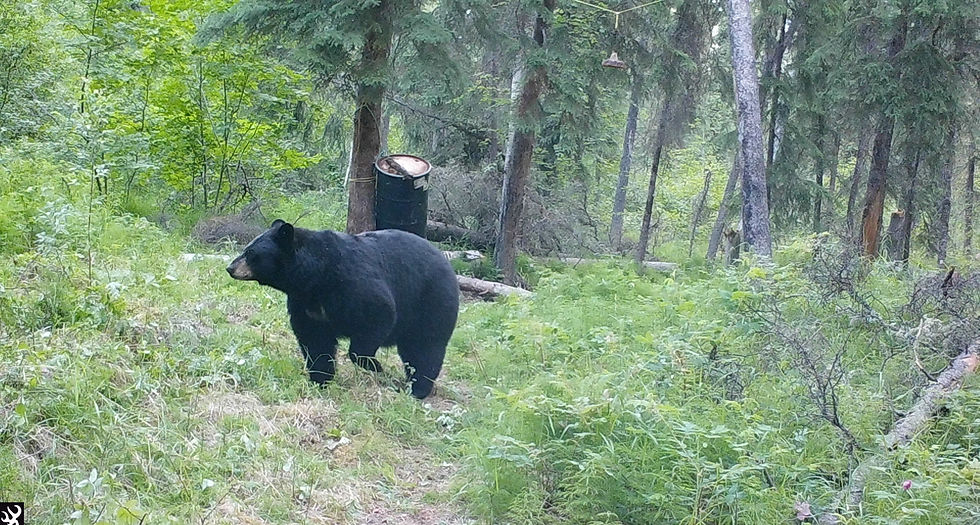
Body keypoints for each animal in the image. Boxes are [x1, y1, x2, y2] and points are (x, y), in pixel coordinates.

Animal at [226, 219, 460, 399]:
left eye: (250, 253)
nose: (230, 267)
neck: (313, 278)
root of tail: (448, 264)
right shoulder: (305, 304)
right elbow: (314, 340)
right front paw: (320, 380)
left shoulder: (351, 283)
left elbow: (379, 312)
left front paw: (375, 366)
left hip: (431, 301)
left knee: (426, 348)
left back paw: (418, 389)